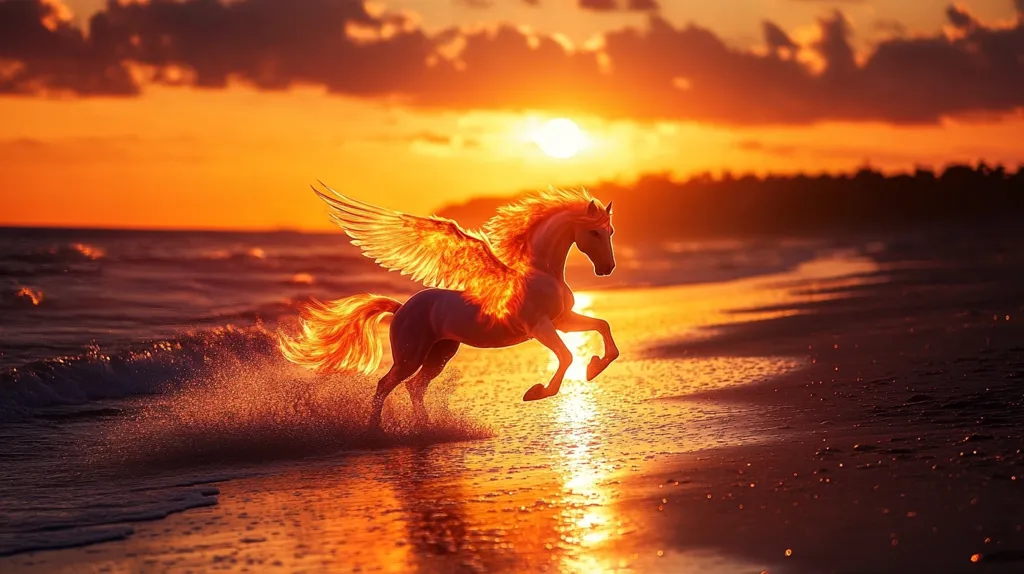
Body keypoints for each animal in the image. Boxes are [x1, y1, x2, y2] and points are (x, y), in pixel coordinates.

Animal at [278, 183, 619, 430]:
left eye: (610, 231)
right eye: (593, 231)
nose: (607, 269)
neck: (542, 274)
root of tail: (400, 309)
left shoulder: (563, 319)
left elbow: (602, 328)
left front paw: (594, 366)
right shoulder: (540, 327)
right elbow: (566, 355)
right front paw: (536, 392)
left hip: (440, 353)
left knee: (415, 387)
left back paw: (426, 428)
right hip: (411, 355)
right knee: (385, 385)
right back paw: (376, 431)